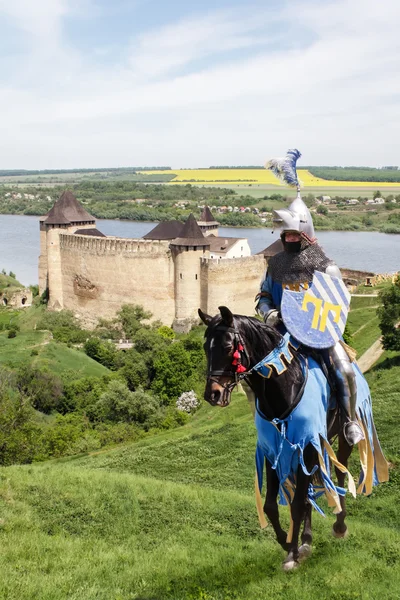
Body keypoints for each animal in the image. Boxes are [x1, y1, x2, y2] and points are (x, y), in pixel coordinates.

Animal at [199, 308, 388, 568]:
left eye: (228, 346)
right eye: (206, 347)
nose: (213, 394)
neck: (283, 386)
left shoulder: (307, 446)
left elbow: (298, 503)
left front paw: (293, 555)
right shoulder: (274, 451)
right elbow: (271, 506)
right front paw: (289, 544)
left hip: (342, 436)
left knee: (339, 473)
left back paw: (339, 524)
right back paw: (307, 540)